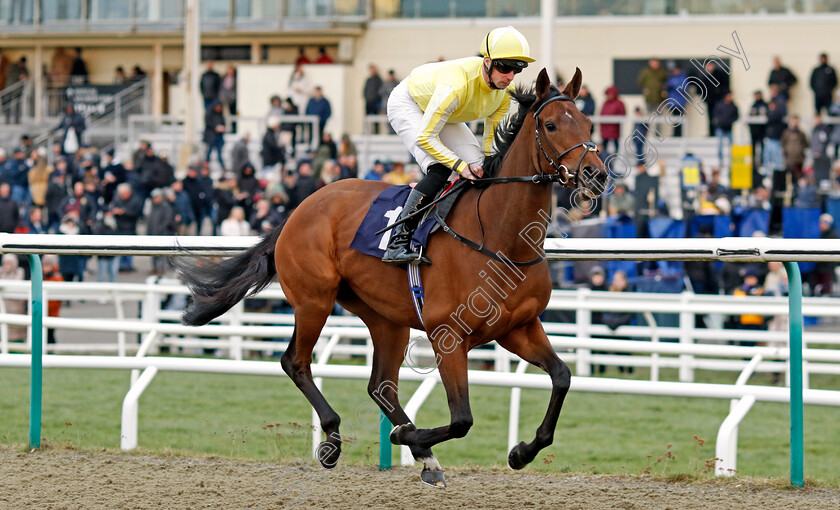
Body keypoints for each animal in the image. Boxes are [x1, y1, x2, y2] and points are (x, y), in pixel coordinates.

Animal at [177, 67, 608, 486]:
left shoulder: (518, 327)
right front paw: (408, 437)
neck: (500, 237)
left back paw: (421, 453)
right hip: (314, 300)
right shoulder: (447, 336)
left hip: (386, 318)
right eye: (551, 125)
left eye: (588, 122)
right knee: (295, 362)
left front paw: (520, 452)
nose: (596, 174)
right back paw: (337, 440)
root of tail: (299, 208)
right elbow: (462, 419)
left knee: (379, 385)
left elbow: (562, 377)